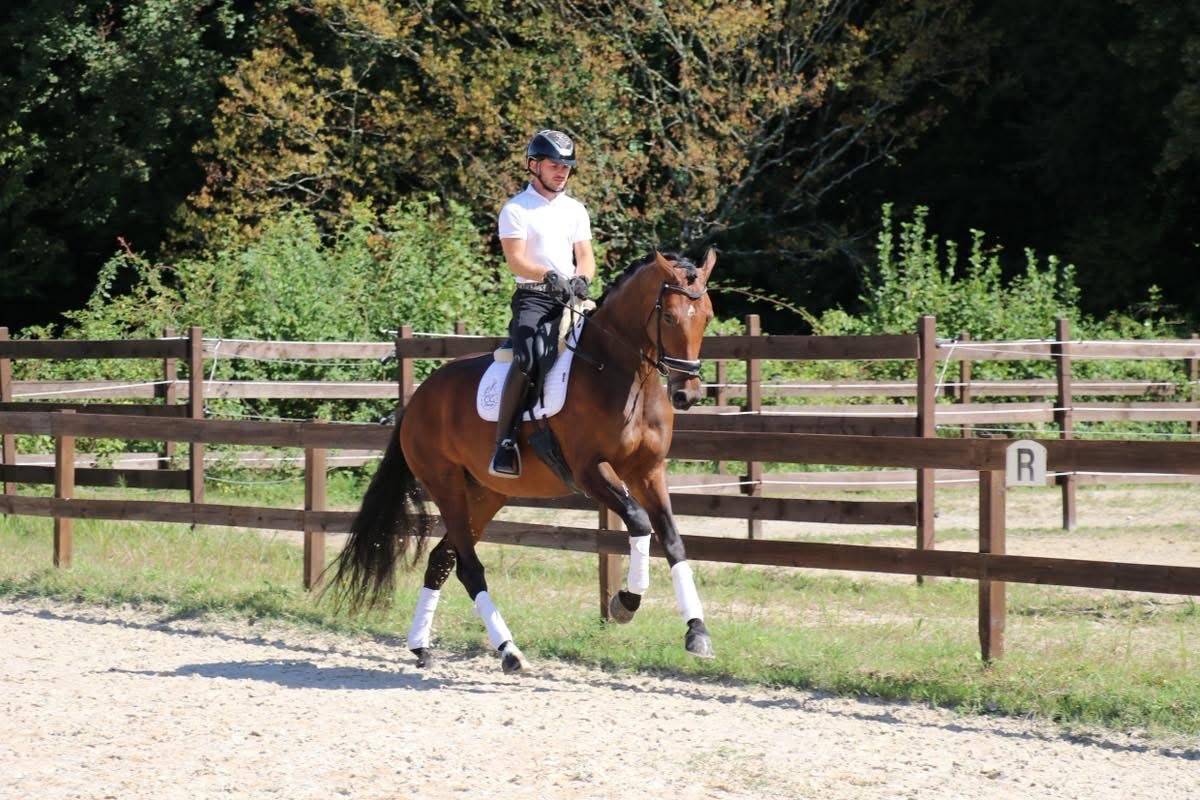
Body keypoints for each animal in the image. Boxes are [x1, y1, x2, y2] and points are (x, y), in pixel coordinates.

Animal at [326, 249, 717, 673]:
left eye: (707, 316)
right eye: (669, 317)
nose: (687, 394)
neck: (620, 375)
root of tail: (419, 398)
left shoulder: (649, 472)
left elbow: (673, 540)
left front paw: (697, 631)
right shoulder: (590, 472)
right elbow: (640, 522)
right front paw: (625, 603)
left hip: (486, 495)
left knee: (442, 559)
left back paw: (421, 646)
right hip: (446, 486)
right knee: (468, 566)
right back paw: (508, 650)